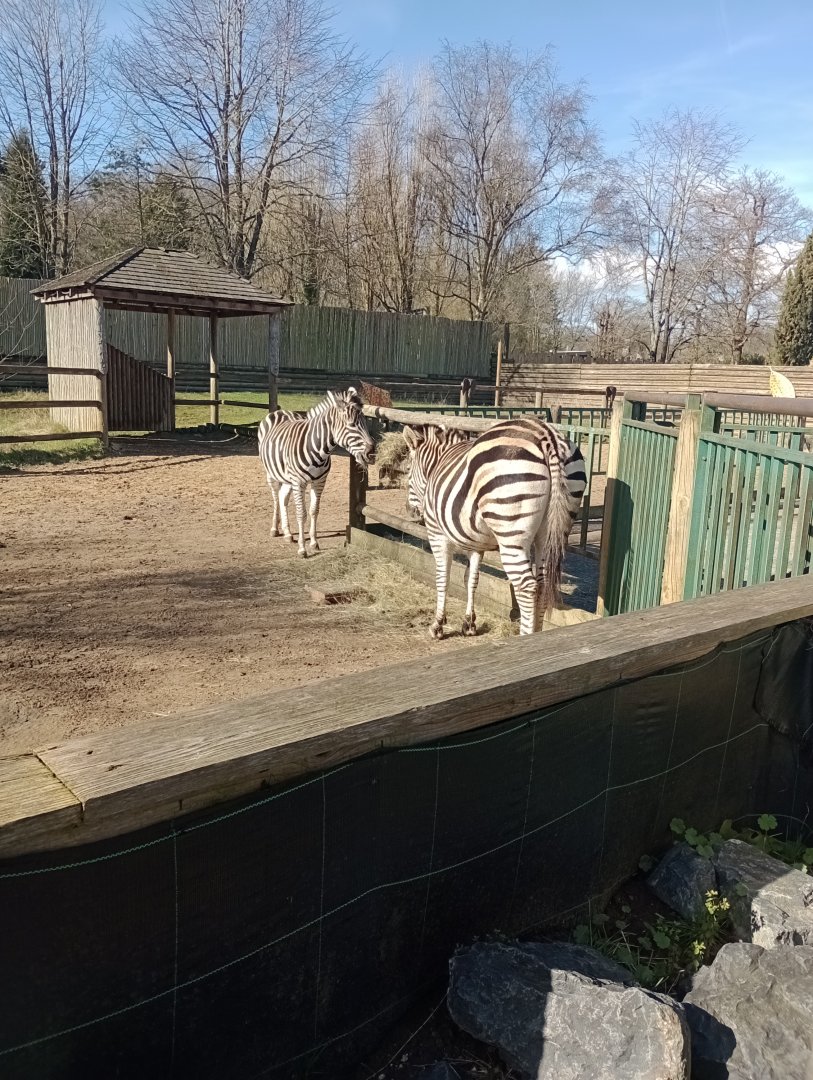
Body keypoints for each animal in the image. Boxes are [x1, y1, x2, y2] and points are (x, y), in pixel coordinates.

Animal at [258, 387, 374, 557]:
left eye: (365, 423)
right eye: (351, 424)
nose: (372, 453)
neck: (319, 450)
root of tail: (280, 411)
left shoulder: (319, 481)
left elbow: (314, 511)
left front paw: (313, 543)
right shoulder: (298, 482)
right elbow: (301, 513)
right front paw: (302, 548)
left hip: (287, 477)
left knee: (282, 497)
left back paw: (287, 533)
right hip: (272, 474)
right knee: (275, 498)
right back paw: (275, 529)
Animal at [403, 417, 586, 637]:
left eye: (407, 471)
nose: (410, 511)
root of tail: (547, 436)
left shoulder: (437, 533)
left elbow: (442, 577)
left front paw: (437, 625)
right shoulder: (475, 543)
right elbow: (471, 579)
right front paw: (469, 624)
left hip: (511, 533)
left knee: (527, 587)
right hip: (550, 534)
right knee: (542, 584)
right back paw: (538, 634)